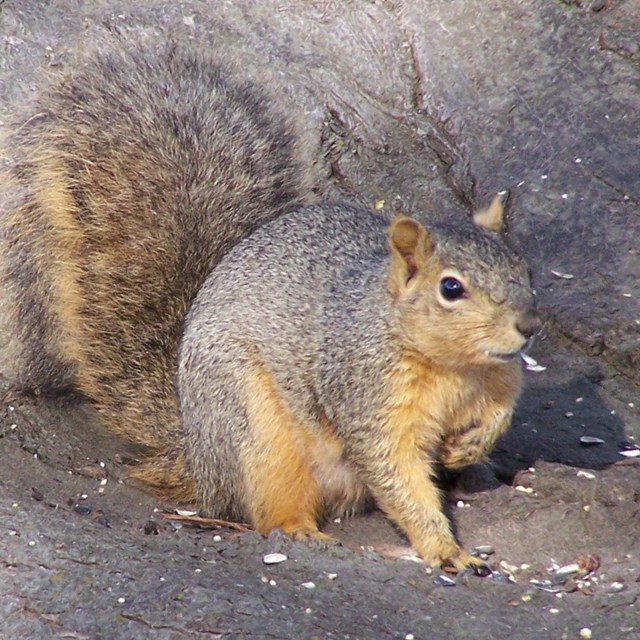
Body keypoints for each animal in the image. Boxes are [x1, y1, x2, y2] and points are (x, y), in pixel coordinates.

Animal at [1, 37, 540, 571]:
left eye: (524, 268)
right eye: (451, 289)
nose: (528, 326)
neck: (456, 367)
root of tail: (195, 451)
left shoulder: (501, 377)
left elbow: (502, 412)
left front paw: (470, 446)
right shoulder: (366, 398)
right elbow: (396, 476)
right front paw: (445, 549)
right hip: (251, 425)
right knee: (268, 505)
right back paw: (299, 528)